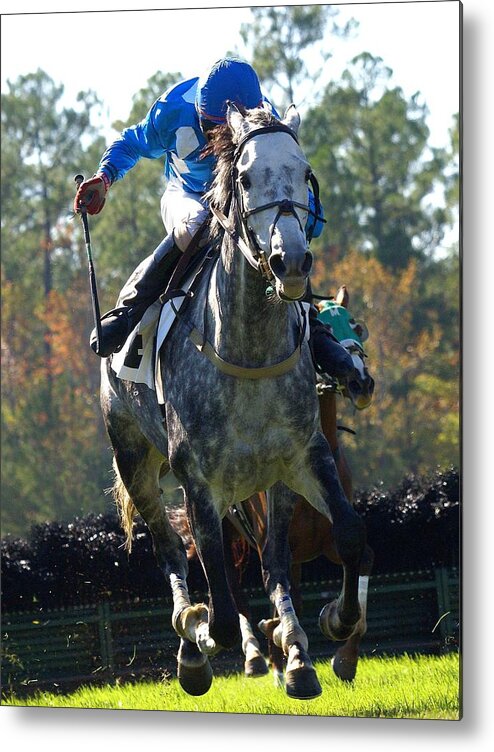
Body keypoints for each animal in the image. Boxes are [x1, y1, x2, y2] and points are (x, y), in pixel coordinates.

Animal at [100, 103, 364, 704]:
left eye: (304, 172)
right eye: (244, 178)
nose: (291, 260)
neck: (247, 346)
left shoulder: (304, 456)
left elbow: (348, 539)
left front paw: (332, 623)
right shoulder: (198, 483)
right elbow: (217, 614)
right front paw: (201, 633)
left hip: (267, 484)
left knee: (272, 563)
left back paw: (296, 656)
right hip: (136, 460)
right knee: (172, 552)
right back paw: (194, 649)